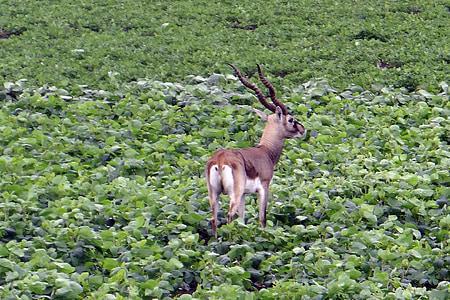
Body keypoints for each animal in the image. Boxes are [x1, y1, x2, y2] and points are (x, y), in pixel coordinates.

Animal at [207, 63, 306, 237]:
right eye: (291, 119)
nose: (303, 129)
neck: (265, 152)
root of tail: (219, 160)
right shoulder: (264, 188)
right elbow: (262, 218)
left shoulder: (245, 195)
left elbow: (242, 219)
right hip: (234, 194)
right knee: (229, 216)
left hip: (214, 194)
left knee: (214, 219)